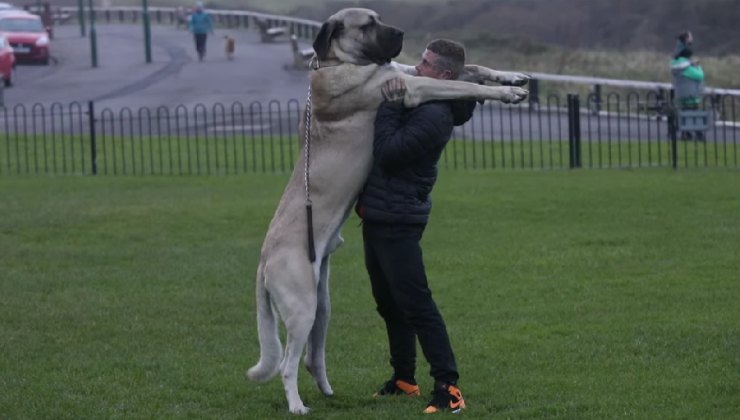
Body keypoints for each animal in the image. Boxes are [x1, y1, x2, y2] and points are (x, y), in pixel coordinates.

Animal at [247, 8, 528, 416]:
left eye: (378, 17)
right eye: (367, 24)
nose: (402, 32)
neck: (340, 61)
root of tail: (263, 261)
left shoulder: (406, 72)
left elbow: (472, 68)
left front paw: (512, 77)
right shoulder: (411, 87)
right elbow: (459, 86)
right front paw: (507, 93)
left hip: (321, 305)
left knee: (310, 357)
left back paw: (329, 392)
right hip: (301, 306)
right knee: (286, 363)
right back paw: (297, 405)